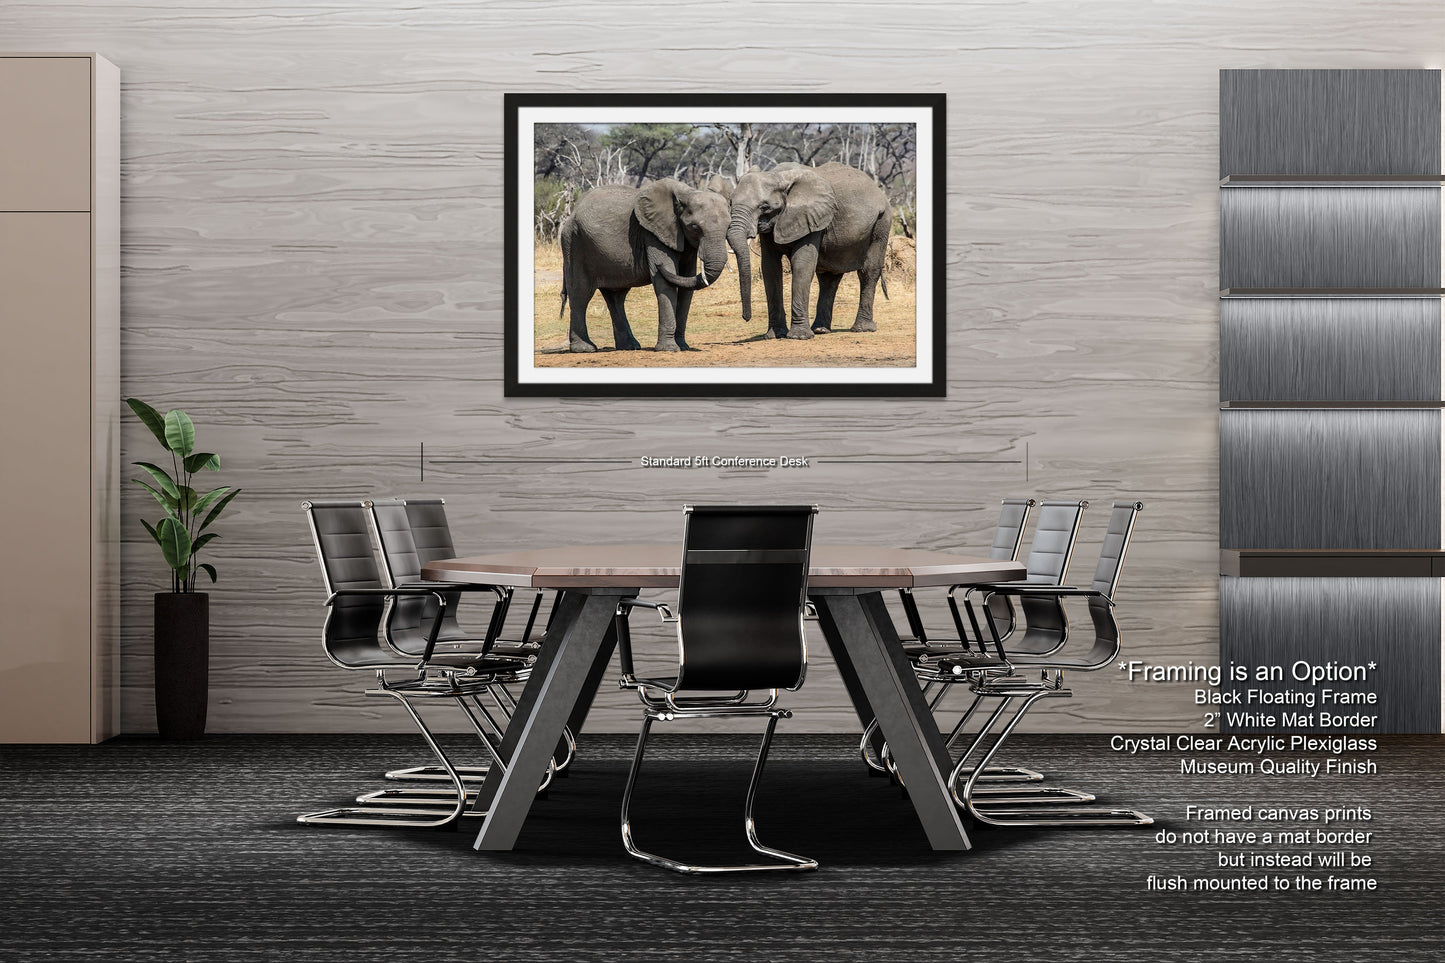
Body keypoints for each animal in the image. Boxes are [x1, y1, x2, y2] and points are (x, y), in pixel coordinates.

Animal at [558, 178, 730, 352]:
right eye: (695, 227)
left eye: (729, 226)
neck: (686, 193)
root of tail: (573, 212)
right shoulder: (654, 234)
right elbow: (666, 282)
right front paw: (669, 349)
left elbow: (686, 284)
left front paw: (683, 347)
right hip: (574, 243)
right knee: (581, 293)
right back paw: (585, 348)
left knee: (616, 296)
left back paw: (629, 347)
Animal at [726, 161, 892, 340]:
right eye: (730, 203)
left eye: (764, 207)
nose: (746, 318)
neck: (778, 176)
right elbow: (770, 268)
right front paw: (775, 335)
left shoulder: (812, 217)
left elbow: (802, 263)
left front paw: (798, 337)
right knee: (828, 277)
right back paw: (820, 330)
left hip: (882, 222)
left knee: (868, 271)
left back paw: (862, 329)